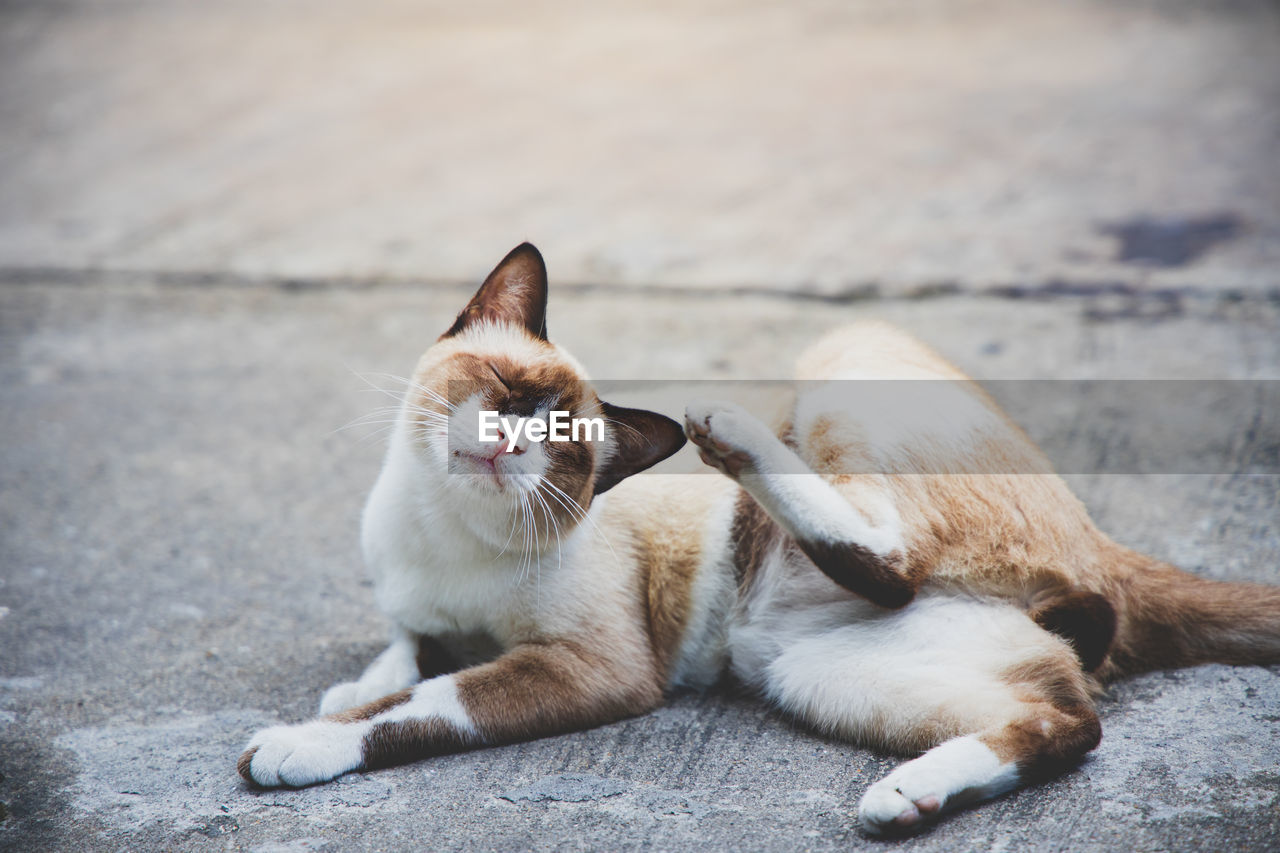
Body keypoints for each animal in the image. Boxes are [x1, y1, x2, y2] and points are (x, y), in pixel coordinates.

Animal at [240, 239, 1280, 829]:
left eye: (565, 440)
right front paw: (347, 689)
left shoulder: (589, 667)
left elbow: (422, 702)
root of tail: (1105, 543)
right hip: (817, 671)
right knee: (1064, 717)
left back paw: (729, 429)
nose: (509, 442)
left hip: (839, 361)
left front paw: (295, 745)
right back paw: (906, 799)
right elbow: (398, 657)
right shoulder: (418, 612)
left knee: (896, 562)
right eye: (504, 388)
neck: (442, 531)